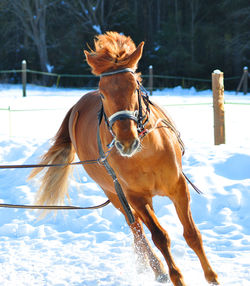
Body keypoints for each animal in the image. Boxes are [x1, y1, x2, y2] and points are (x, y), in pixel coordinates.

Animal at [28, 31, 218, 286]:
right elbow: (159, 236)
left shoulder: (178, 187)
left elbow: (192, 234)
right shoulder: (134, 196)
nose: (126, 140)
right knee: (136, 227)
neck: (145, 155)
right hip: (113, 193)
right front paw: (176, 276)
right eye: (103, 93)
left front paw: (212, 276)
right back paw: (157, 269)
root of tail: (77, 107)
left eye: (134, 86)